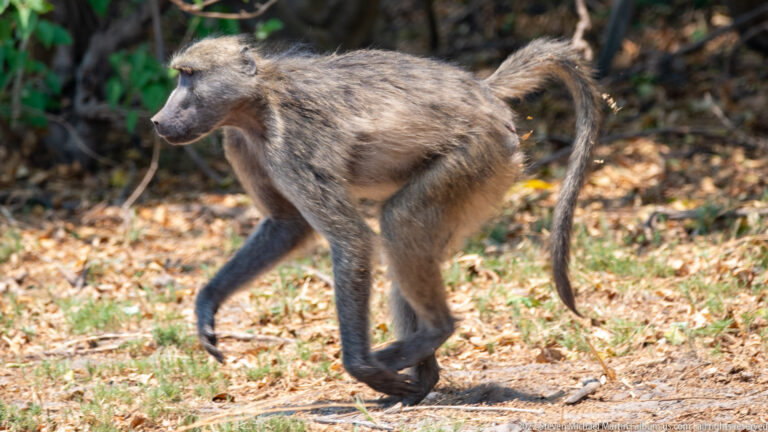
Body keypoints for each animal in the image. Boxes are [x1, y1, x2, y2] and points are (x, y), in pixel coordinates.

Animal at [151, 35, 600, 405]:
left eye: (188, 77)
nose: (157, 120)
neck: (259, 99)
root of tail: (484, 91)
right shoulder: (240, 141)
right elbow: (286, 225)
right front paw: (208, 305)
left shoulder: (292, 141)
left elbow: (350, 239)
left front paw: (362, 367)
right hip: (485, 175)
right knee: (409, 241)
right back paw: (424, 379)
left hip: (479, 155)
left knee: (398, 225)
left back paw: (428, 338)